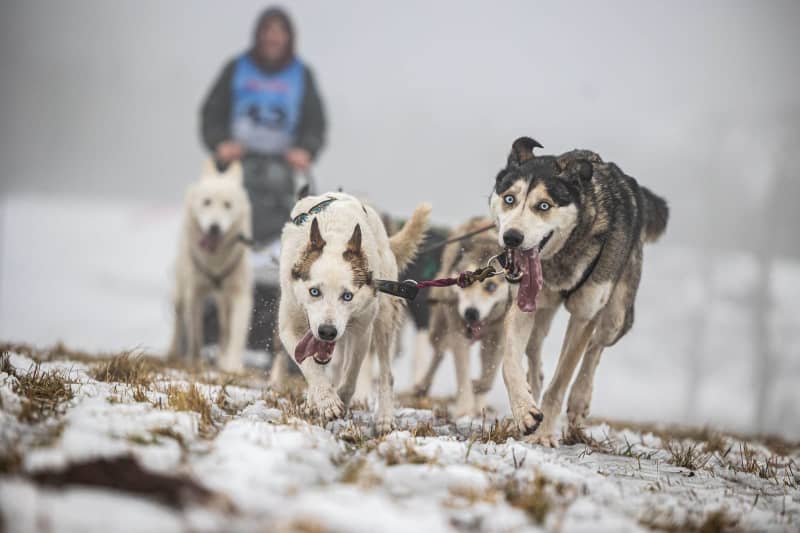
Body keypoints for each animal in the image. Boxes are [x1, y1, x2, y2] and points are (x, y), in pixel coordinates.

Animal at [169, 160, 253, 372]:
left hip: (224, 301)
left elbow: (237, 332)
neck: (216, 262)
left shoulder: (240, 294)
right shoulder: (194, 294)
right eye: (206, 202)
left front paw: (232, 364)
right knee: (179, 320)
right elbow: (196, 333)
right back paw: (173, 352)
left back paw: (222, 358)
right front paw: (195, 360)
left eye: (227, 205)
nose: (214, 227)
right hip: (180, 291)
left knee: (225, 327)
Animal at [282, 193, 432, 430]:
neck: (335, 235)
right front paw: (325, 400)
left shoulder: (362, 329)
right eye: (314, 291)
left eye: (347, 296)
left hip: (384, 318)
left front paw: (340, 398)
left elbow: (352, 372)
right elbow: (310, 367)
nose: (327, 332)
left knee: (386, 372)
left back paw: (384, 417)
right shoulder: (289, 325)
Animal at [488, 137, 668, 444]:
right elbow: (509, 363)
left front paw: (544, 434)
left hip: (615, 317)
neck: (560, 258)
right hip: (541, 317)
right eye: (509, 199)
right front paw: (524, 411)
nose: (511, 237)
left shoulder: (584, 316)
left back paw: (580, 400)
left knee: (595, 347)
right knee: (535, 354)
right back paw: (533, 388)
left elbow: (561, 380)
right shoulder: (523, 306)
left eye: (543, 205)